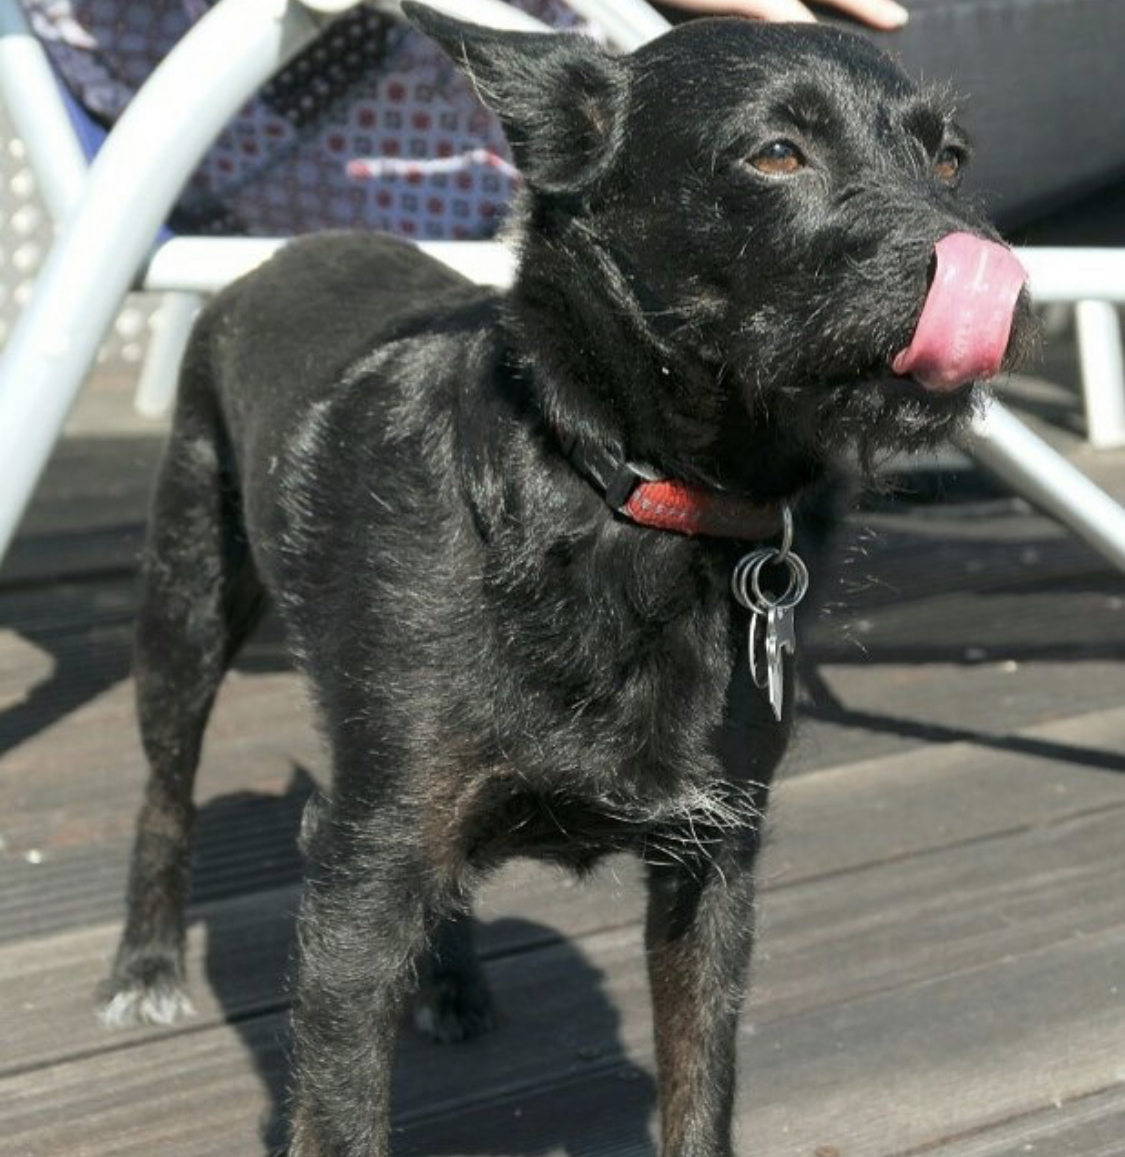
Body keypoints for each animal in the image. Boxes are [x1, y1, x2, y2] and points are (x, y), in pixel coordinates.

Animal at [101, 11, 1032, 1157]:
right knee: (165, 794)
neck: (628, 498)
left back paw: (450, 981)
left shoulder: (711, 864)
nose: (994, 275)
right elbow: (342, 1105)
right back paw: (145, 964)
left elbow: (699, 1086)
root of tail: (283, 256)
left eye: (949, 159)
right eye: (776, 154)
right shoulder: (361, 881)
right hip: (185, 608)